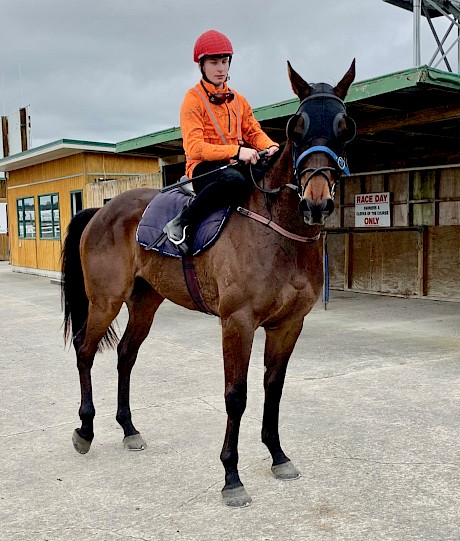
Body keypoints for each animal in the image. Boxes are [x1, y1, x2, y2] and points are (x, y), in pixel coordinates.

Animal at [60, 61, 356, 508]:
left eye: (343, 125)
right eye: (297, 125)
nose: (316, 203)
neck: (277, 232)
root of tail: (103, 210)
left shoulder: (288, 325)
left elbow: (274, 387)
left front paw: (277, 454)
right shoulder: (237, 323)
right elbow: (237, 395)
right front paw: (231, 476)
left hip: (145, 303)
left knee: (126, 355)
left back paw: (128, 429)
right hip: (105, 301)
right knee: (85, 349)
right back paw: (85, 430)